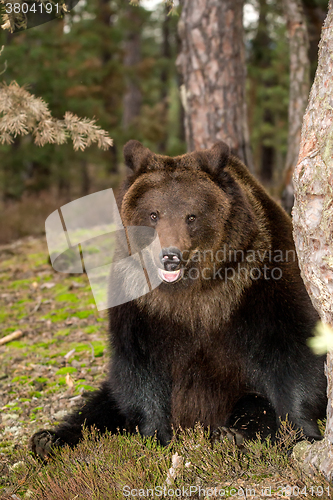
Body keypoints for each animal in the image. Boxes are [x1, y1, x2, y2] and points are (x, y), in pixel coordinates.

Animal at [29, 139, 326, 458]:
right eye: (153, 214)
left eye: (191, 216)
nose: (169, 256)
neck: (191, 292)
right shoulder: (140, 303)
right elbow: (138, 368)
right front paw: (157, 436)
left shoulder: (258, 282)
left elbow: (294, 351)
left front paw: (301, 432)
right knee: (99, 407)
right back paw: (48, 439)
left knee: (253, 404)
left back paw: (231, 436)